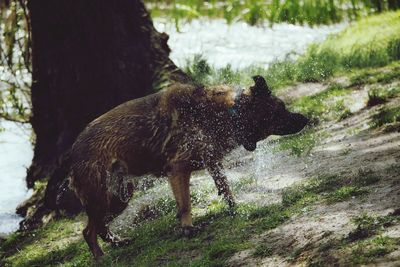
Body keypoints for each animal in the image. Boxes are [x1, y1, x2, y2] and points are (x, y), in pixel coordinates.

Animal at [69, 75, 308, 258]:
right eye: (281, 108)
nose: (306, 119)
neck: (228, 112)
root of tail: (72, 152)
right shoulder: (178, 170)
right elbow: (185, 204)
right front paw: (188, 228)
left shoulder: (212, 163)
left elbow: (225, 189)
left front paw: (234, 208)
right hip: (102, 199)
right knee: (88, 231)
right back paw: (101, 257)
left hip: (119, 198)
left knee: (98, 227)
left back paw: (117, 242)